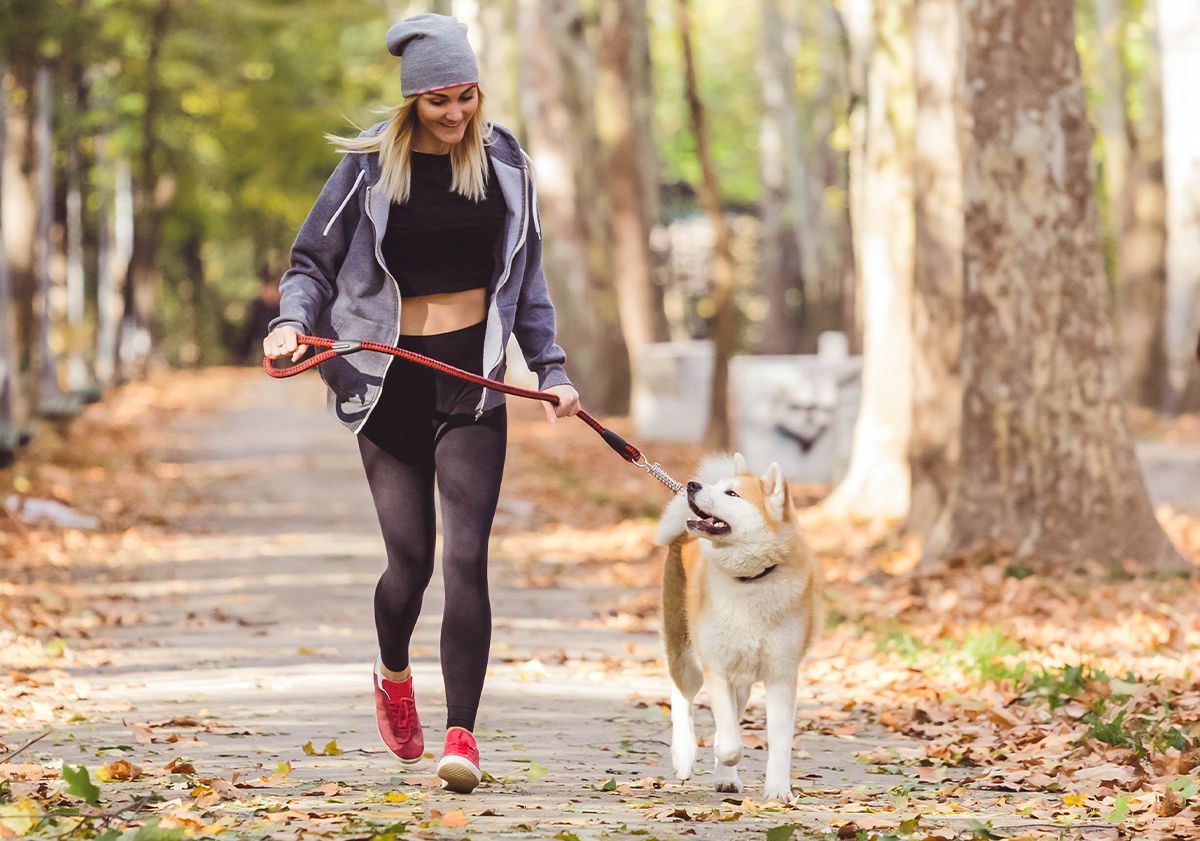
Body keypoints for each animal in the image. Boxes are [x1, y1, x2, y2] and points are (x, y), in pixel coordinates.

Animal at [652, 453, 820, 801]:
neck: (751, 580)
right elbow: (730, 744)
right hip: (686, 654)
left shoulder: (781, 675)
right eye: (718, 487)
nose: (693, 485)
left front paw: (778, 790)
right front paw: (720, 752)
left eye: (732, 494)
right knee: (681, 696)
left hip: (742, 676)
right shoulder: (716, 668)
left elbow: (779, 744)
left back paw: (725, 777)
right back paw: (684, 755)